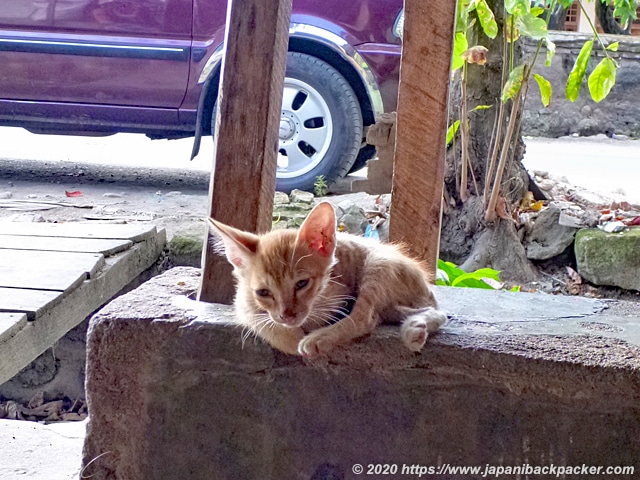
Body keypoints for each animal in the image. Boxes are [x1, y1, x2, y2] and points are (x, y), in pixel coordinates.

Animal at [209, 200, 444, 356]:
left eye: (302, 283)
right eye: (263, 292)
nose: (287, 316)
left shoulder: (339, 296)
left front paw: (301, 336)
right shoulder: (242, 300)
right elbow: (259, 319)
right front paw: (288, 335)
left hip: (378, 262)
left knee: (367, 317)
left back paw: (320, 338)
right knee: (435, 313)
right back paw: (416, 329)